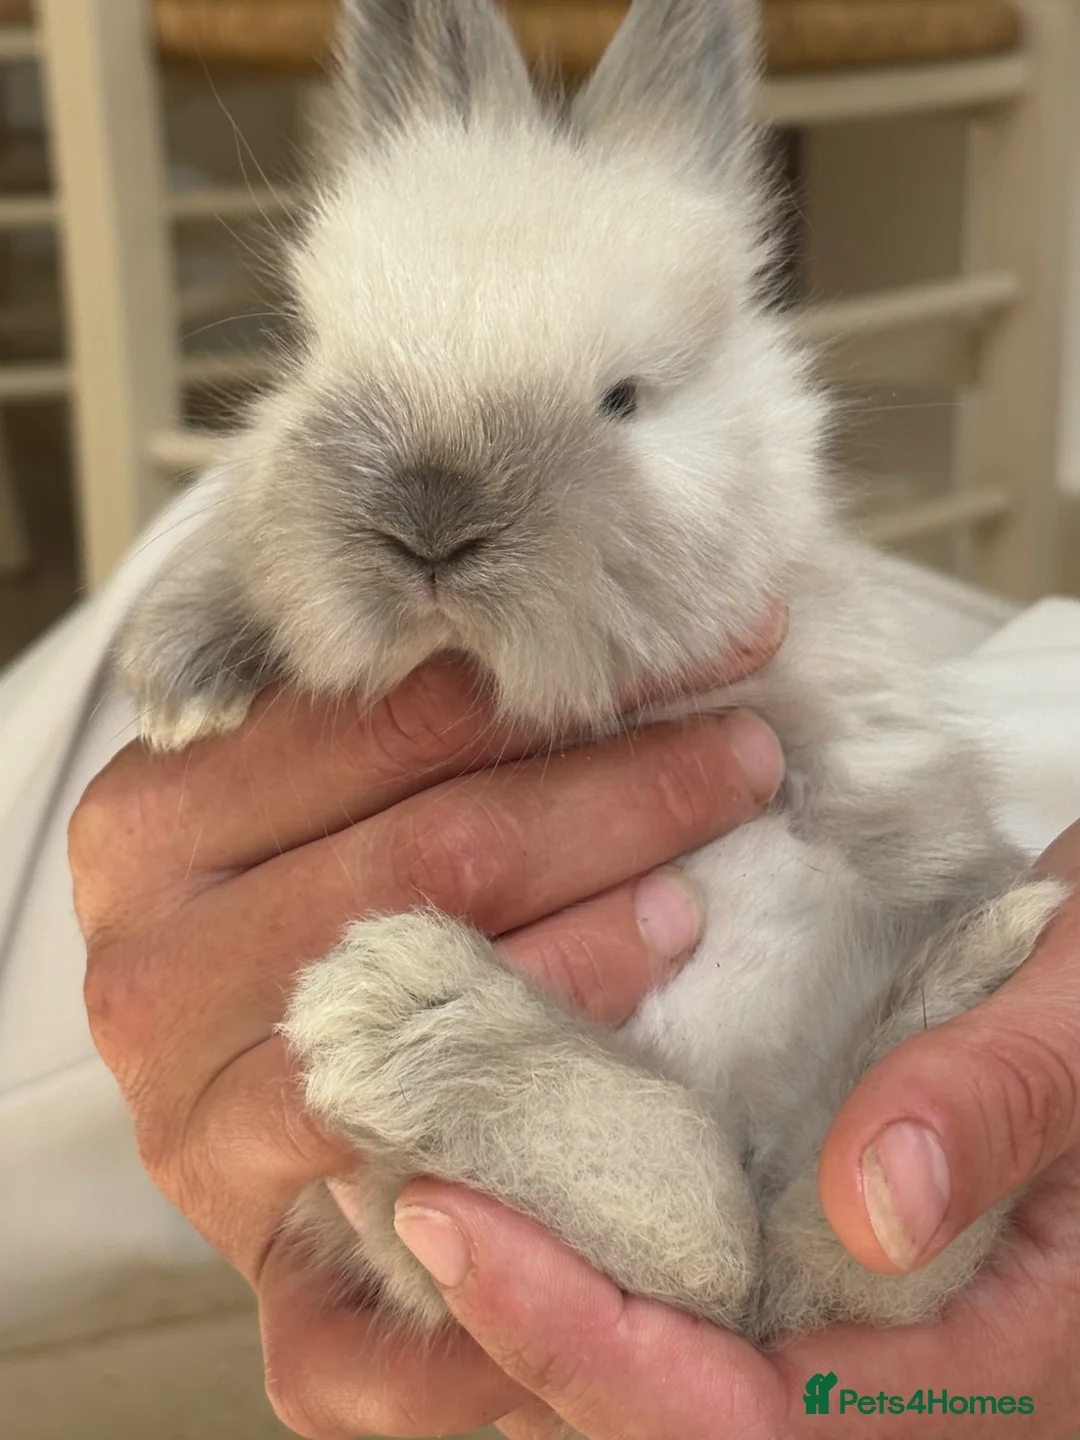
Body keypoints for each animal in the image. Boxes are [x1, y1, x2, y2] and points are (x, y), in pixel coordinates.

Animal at [117, 0, 1066, 1348]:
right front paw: (182, 684)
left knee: (746, 1245)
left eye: (623, 398)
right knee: (724, 1241)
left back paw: (412, 1015)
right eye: (319, 354)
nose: (428, 529)